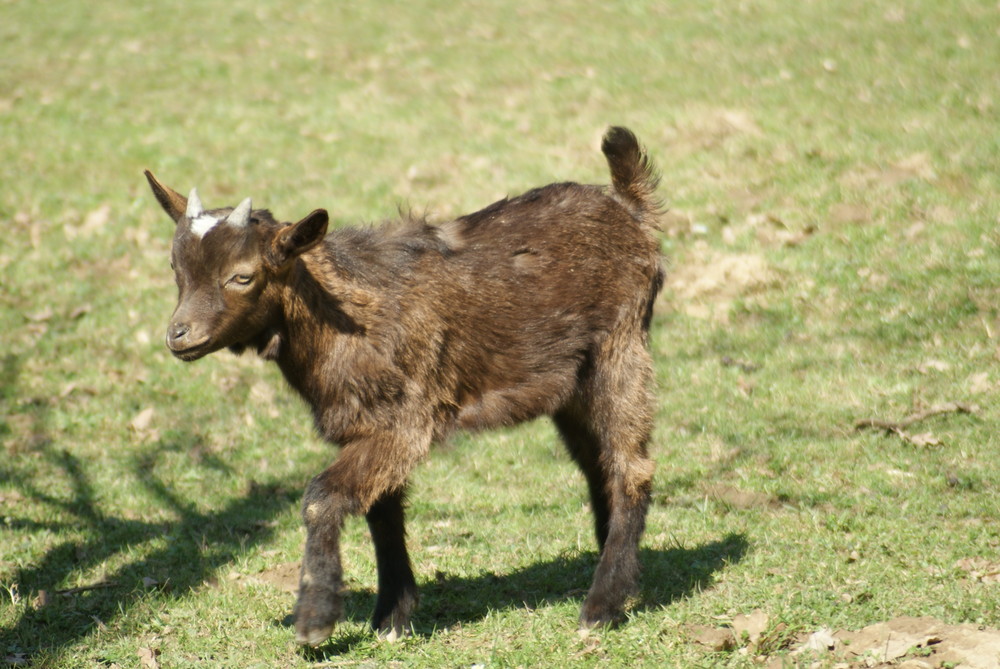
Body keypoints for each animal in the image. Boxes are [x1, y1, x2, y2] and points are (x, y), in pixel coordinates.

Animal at [146, 128, 664, 644]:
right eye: (175, 269)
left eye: (242, 276)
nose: (178, 335)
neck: (343, 313)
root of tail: (630, 208)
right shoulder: (368, 424)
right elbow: (382, 511)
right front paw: (392, 616)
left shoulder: (406, 424)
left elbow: (321, 498)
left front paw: (315, 620)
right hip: (572, 389)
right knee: (599, 466)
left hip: (621, 350)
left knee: (632, 469)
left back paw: (601, 606)